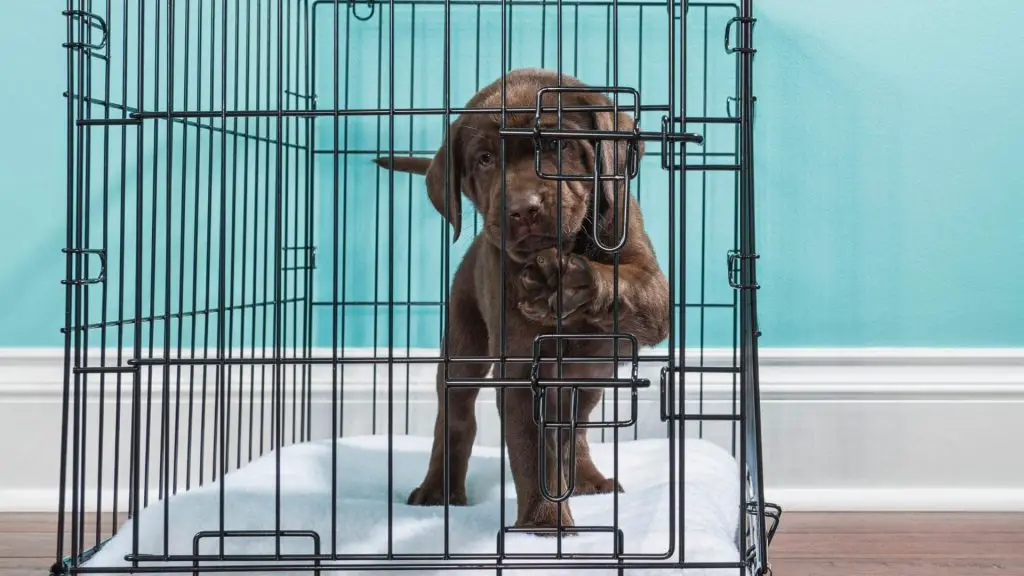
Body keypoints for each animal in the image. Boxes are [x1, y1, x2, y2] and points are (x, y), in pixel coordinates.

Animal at [372, 67, 667, 528]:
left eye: (556, 144)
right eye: (484, 159)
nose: (523, 209)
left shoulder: (648, 283)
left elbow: (629, 284)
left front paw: (567, 281)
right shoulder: (519, 369)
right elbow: (532, 452)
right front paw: (544, 524)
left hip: (595, 371)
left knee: (576, 427)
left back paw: (586, 478)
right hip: (464, 341)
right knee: (455, 417)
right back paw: (438, 490)